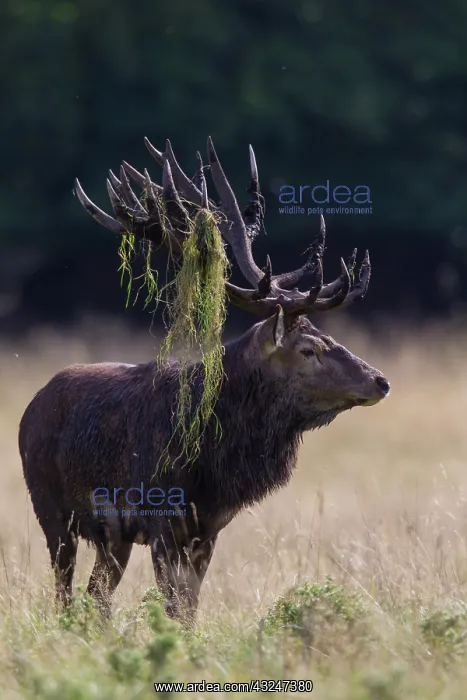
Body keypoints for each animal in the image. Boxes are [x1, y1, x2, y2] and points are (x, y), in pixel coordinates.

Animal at [19, 136, 390, 624]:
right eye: (308, 349)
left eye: (329, 337)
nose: (380, 381)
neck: (211, 463)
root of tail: (30, 408)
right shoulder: (160, 515)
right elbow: (173, 605)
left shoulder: (209, 527)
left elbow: (190, 607)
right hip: (50, 509)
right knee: (63, 591)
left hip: (112, 537)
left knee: (96, 596)